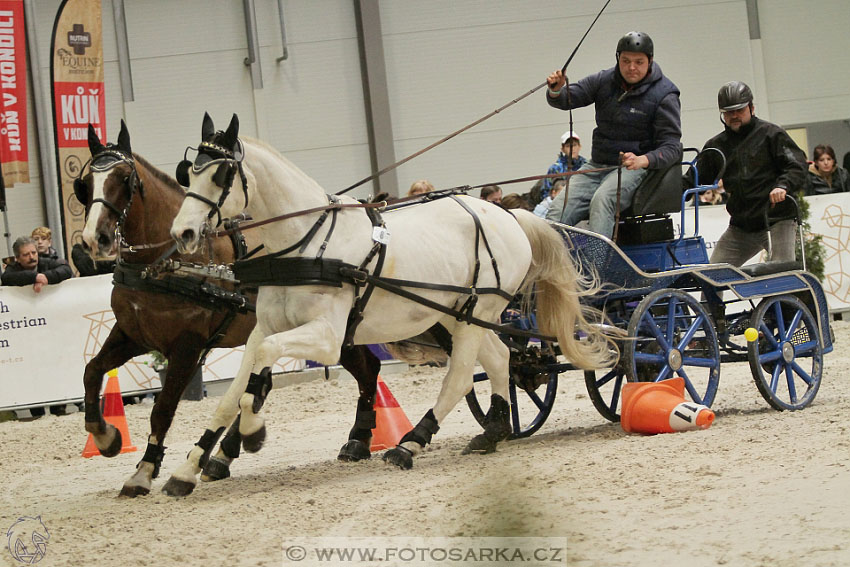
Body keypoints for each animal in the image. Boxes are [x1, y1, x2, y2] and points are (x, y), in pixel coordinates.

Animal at [76, 123, 380, 496]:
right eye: (84, 183)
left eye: (123, 178)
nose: (96, 240)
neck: (165, 261)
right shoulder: (132, 334)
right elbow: (91, 371)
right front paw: (105, 436)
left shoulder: (187, 345)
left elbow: (163, 408)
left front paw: (144, 470)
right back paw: (224, 455)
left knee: (367, 368)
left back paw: (358, 440)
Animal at [164, 114, 616, 496]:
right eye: (189, 172)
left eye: (221, 174)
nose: (182, 233)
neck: (307, 243)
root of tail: (508, 215)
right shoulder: (264, 329)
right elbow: (234, 391)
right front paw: (188, 469)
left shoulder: (327, 338)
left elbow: (260, 374)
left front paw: (253, 432)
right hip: (461, 316)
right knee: (502, 360)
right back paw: (493, 432)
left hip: (476, 315)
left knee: (460, 378)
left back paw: (409, 444)